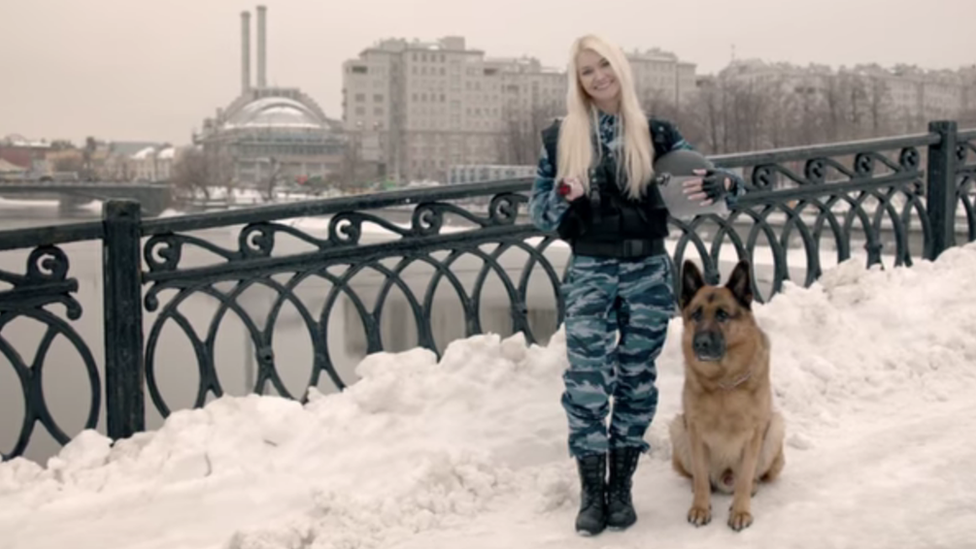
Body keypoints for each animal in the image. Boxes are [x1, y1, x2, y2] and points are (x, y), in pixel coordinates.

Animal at [672, 260, 784, 528]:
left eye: (722, 315)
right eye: (696, 314)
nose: (700, 343)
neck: (723, 382)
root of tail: (724, 479)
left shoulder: (753, 435)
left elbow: (744, 478)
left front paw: (741, 511)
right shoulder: (695, 431)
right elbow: (701, 477)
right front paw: (700, 508)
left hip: (776, 426)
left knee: (752, 477)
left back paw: (751, 487)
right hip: (678, 427)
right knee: (702, 478)